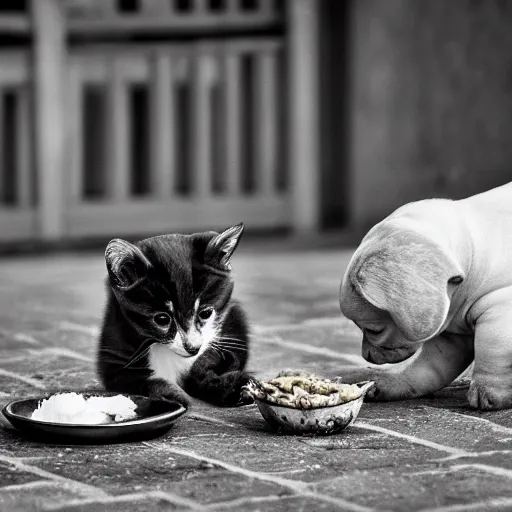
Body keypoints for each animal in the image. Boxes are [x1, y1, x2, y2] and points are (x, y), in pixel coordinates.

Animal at [96, 224, 252, 408]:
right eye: (162, 319)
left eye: (206, 313)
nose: (193, 348)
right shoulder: (114, 356)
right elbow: (142, 382)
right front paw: (174, 396)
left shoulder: (233, 322)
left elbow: (228, 358)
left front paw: (230, 386)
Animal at [336, 182, 512, 410]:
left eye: (374, 331)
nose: (365, 356)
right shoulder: (450, 337)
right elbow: (427, 371)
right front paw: (390, 383)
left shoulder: (498, 313)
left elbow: (490, 355)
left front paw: (489, 394)